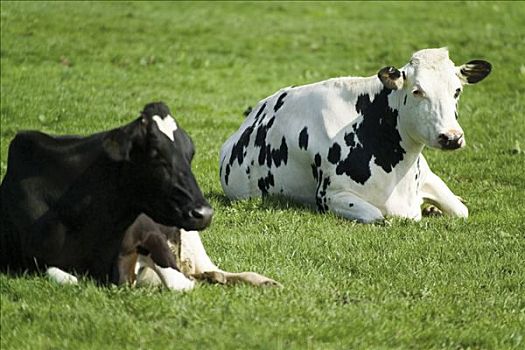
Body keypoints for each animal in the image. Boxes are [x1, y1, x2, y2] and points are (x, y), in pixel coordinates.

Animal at [220, 47, 492, 223]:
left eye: (457, 91)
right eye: (417, 91)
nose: (452, 137)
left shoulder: (427, 177)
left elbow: (461, 211)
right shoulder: (331, 195)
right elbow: (378, 216)